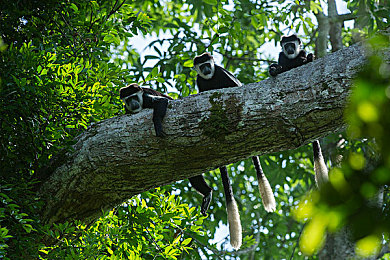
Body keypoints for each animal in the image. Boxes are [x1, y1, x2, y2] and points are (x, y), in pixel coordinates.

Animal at [193, 52, 276, 250]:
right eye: (202, 66)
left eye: (208, 64)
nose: (206, 69)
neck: (210, 77)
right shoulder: (200, 81)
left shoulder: (221, 73)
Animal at [268, 35, 330, 186]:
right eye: (286, 46)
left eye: (293, 44)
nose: (290, 49)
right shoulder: (282, 56)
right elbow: (282, 66)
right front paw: (274, 69)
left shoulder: (301, 52)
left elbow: (303, 59)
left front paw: (308, 58)